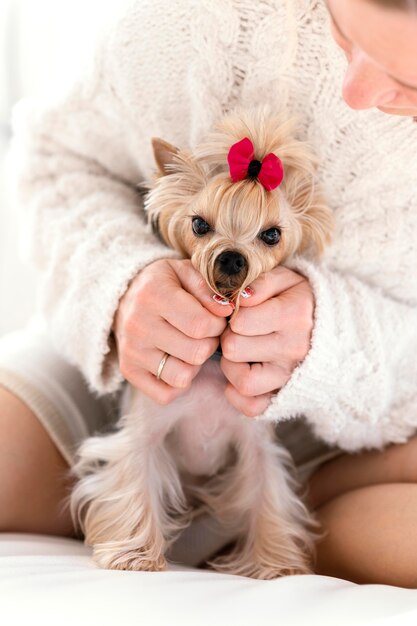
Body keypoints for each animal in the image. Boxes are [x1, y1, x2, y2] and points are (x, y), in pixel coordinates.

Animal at [70, 106, 334, 576]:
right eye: (198, 224)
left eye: (272, 235)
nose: (231, 258)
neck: (213, 361)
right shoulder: (144, 432)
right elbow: (133, 478)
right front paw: (134, 553)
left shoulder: (257, 445)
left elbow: (268, 495)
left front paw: (275, 565)